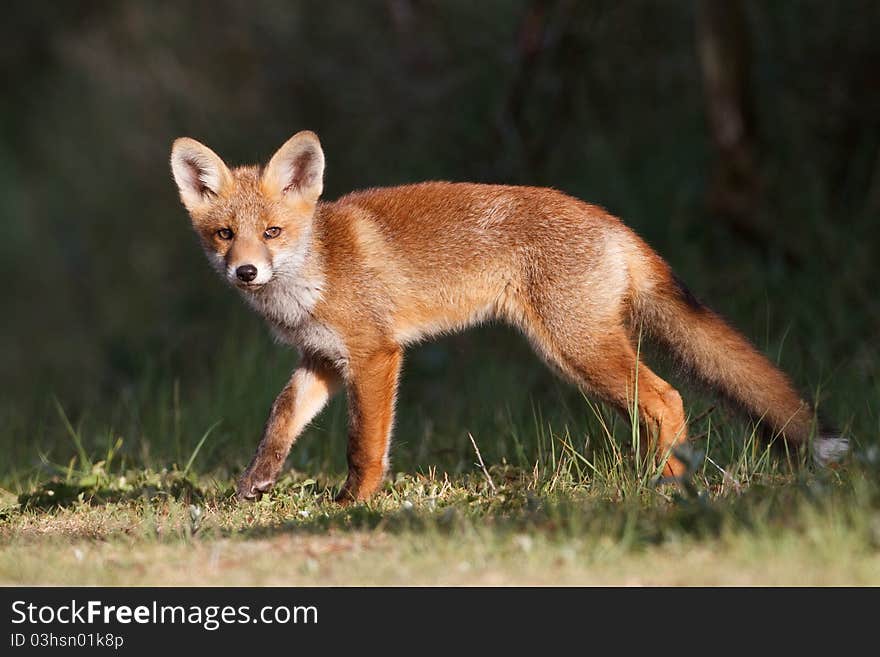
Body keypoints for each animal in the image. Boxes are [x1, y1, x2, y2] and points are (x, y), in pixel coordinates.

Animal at [168, 128, 848, 500]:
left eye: (273, 233)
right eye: (225, 235)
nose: (246, 272)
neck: (314, 272)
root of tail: (613, 222)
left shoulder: (376, 355)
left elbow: (365, 443)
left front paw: (354, 502)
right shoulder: (323, 360)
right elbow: (281, 420)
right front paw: (257, 480)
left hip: (576, 349)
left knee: (668, 398)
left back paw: (666, 482)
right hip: (577, 353)